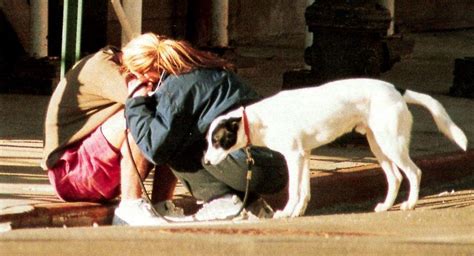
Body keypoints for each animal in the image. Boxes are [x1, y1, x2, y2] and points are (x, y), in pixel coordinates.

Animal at [204, 78, 466, 218]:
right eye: (208, 141)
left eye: (217, 141)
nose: (204, 162)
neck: (259, 120)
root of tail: (395, 88)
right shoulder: (305, 155)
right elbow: (305, 191)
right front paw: (298, 212)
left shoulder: (294, 157)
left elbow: (294, 191)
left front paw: (287, 212)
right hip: (378, 145)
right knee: (395, 178)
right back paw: (385, 206)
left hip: (392, 144)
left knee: (414, 172)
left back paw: (410, 204)